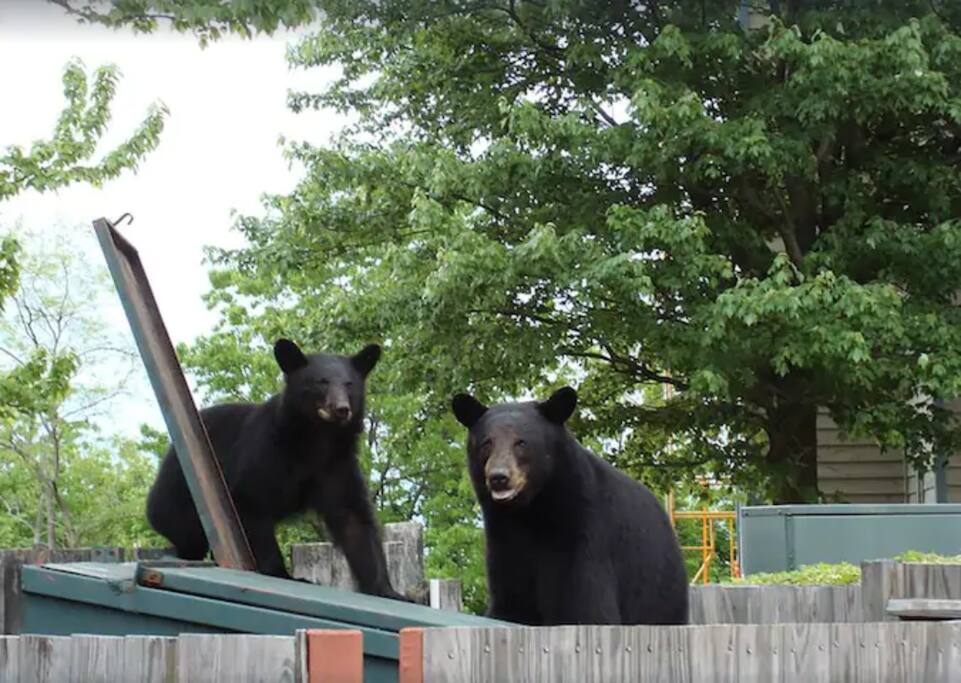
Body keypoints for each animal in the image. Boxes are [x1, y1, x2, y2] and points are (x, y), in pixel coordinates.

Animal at [146, 338, 406, 601]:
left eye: (349, 384)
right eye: (321, 382)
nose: (341, 408)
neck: (318, 438)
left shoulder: (337, 467)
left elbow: (354, 520)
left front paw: (389, 591)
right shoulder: (264, 455)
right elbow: (252, 503)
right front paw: (283, 574)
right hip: (180, 500)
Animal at [451, 386, 689, 625]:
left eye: (521, 442)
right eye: (486, 443)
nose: (499, 477)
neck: (533, 510)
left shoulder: (585, 533)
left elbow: (589, 608)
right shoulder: (505, 542)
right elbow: (510, 604)